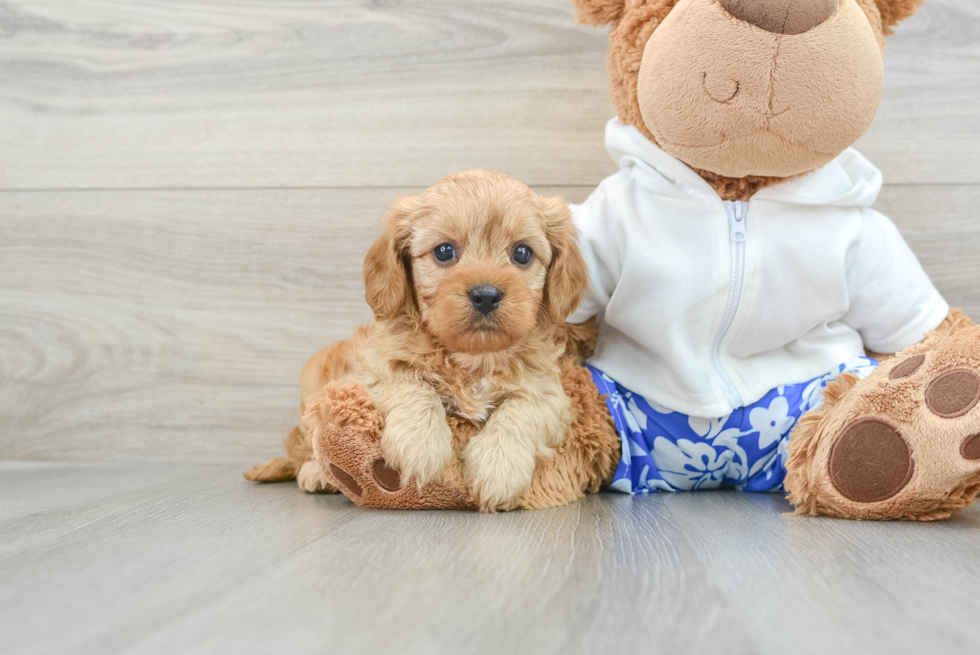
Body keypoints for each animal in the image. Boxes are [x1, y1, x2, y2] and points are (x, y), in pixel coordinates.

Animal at [249, 169, 588, 512]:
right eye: (444, 251)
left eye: (522, 253)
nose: (486, 295)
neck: (473, 357)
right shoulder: (373, 368)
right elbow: (412, 382)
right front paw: (420, 444)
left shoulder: (550, 394)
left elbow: (521, 411)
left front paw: (498, 468)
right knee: (305, 449)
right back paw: (316, 473)